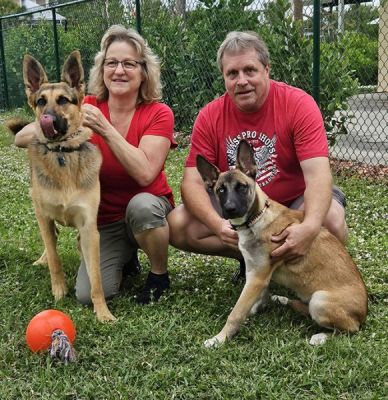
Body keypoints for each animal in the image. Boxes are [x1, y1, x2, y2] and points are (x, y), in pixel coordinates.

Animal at [7, 51, 115, 322]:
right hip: (39, 212)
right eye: (40, 101)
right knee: (51, 240)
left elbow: (96, 279)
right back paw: (43, 259)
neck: (62, 154)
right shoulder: (44, 217)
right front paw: (59, 292)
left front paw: (102, 312)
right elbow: (55, 260)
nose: (48, 118)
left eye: (63, 100)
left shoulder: (88, 226)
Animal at [197, 139, 366, 346]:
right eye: (220, 190)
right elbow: (258, 298)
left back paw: (320, 336)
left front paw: (219, 339)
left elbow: (236, 313)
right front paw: (258, 308)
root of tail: (363, 314)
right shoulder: (255, 272)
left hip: (320, 301)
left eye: (242, 187)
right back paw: (283, 300)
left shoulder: (258, 276)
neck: (256, 219)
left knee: (349, 329)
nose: (230, 209)